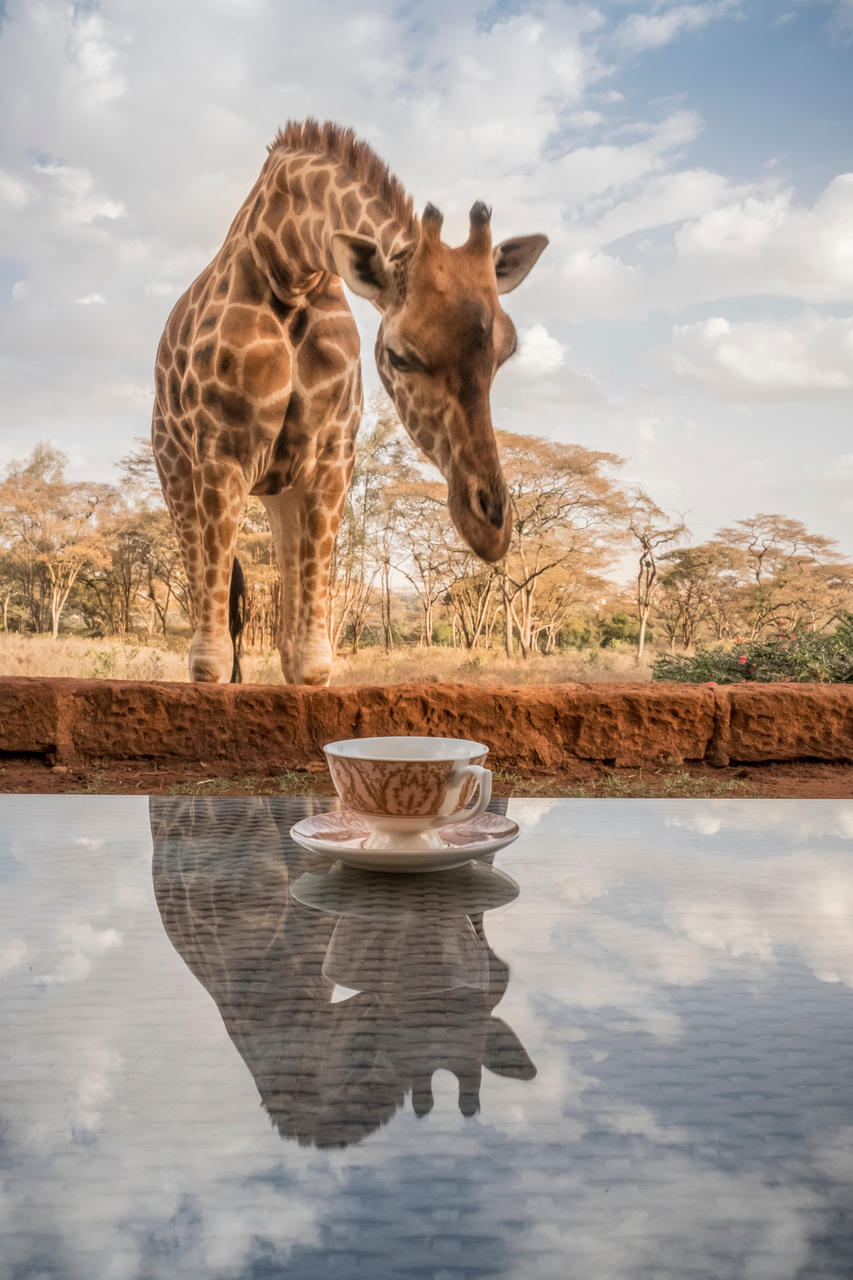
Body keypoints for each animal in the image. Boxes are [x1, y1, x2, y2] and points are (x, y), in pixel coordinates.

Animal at [153, 120, 548, 684]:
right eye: (400, 356)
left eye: (506, 351)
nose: (491, 528)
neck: (292, 266)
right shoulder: (220, 450)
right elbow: (209, 663)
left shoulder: (332, 455)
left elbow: (310, 662)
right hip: (176, 470)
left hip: (279, 490)